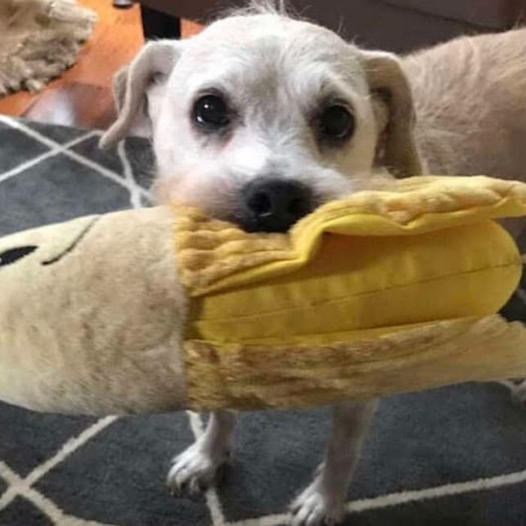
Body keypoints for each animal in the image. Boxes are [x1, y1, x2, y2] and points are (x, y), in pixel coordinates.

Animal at [100, 2, 526, 524]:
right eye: (209, 108)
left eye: (338, 119)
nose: (277, 198)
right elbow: (221, 412)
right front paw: (207, 456)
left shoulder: (363, 385)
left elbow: (342, 448)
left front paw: (323, 502)